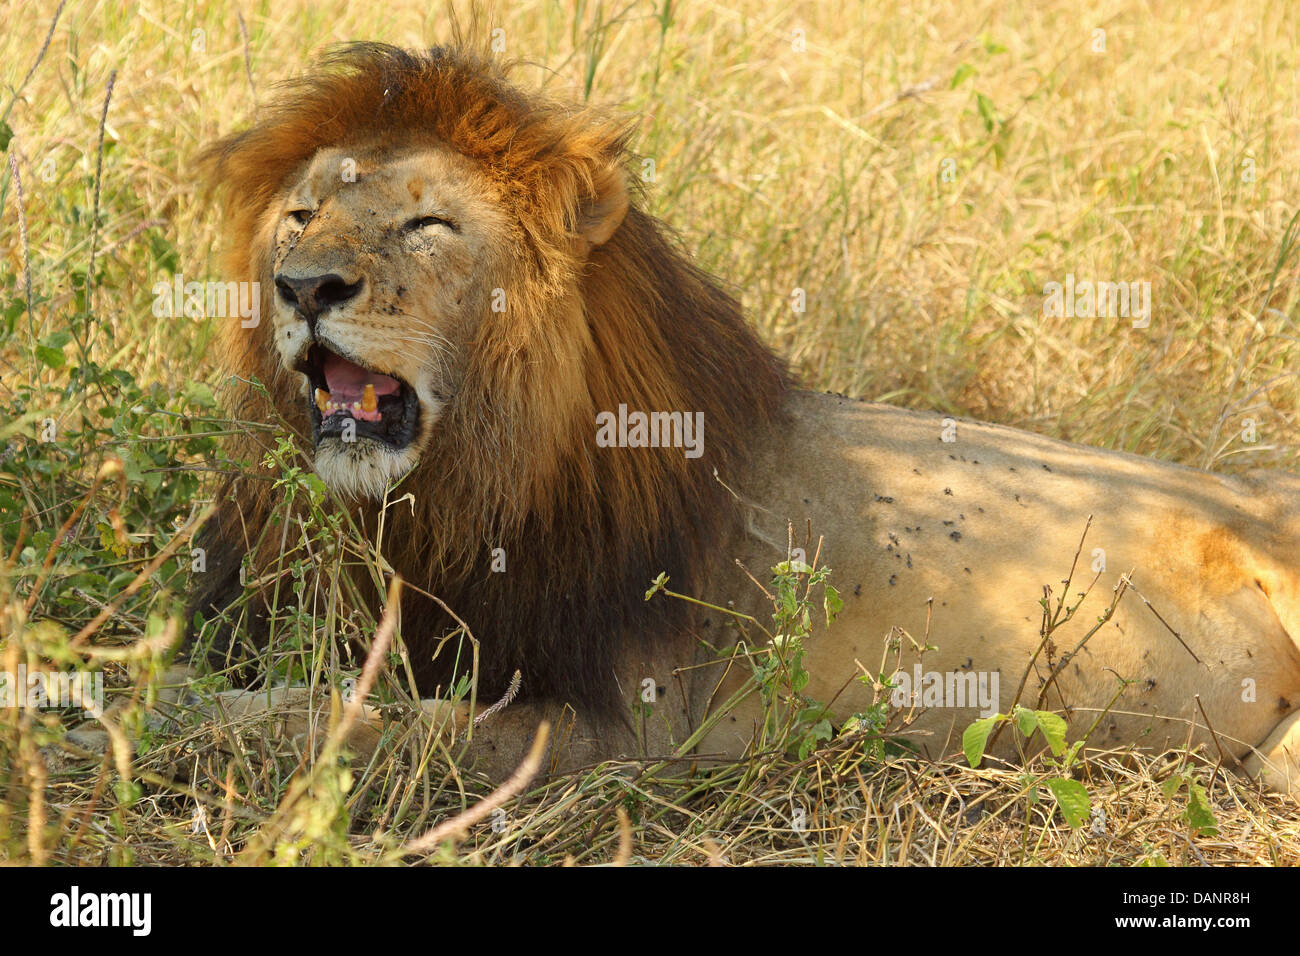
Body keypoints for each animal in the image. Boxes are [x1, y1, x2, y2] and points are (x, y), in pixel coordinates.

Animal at [144, 42, 1300, 790]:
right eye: (300, 214)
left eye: (427, 224)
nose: (303, 286)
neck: (451, 489)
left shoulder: (613, 727)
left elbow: (350, 722)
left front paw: (148, 714)